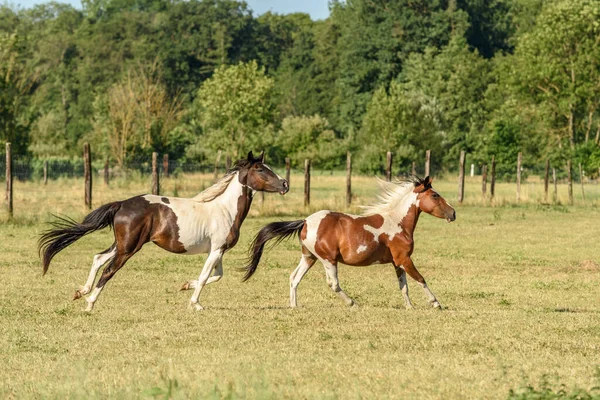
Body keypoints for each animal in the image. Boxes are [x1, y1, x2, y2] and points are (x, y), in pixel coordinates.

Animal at [39, 152, 288, 310]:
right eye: (259, 168)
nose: (285, 184)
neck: (224, 209)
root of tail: (122, 204)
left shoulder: (217, 251)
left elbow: (216, 276)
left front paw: (186, 285)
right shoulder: (217, 250)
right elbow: (206, 276)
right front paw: (195, 304)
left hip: (121, 244)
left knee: (98, 258)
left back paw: (80, 292)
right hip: (128, 248)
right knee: (108, 270)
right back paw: (90, 303)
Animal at [243, 177, 454, 310]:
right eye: (435, 195)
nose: (453, 213)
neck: (398, 222)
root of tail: (305, 221)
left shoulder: (397, 262)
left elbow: (404, 286)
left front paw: (410, 307)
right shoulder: (404, 259)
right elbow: (420, 279)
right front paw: (436, 303)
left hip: (309, 257)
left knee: (294, 278)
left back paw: (294, 306)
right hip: (328, 259)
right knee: (333, 284)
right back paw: (353, 303)